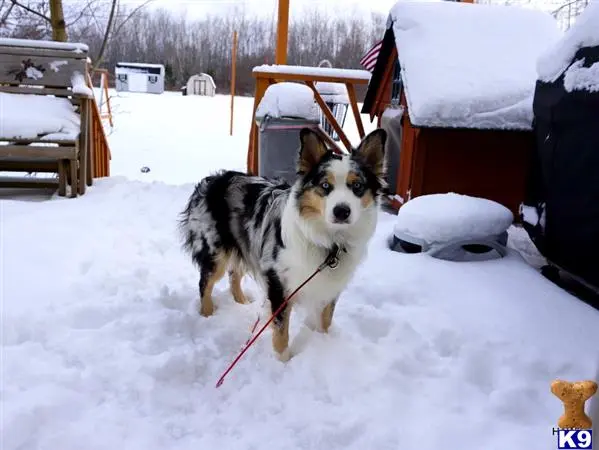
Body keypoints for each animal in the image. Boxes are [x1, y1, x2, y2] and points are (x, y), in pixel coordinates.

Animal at [179, 127, 390, 362]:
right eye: (325, 185)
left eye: (357, 186)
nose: (342, 211)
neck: (328, 241)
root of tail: (211, 179)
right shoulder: (279, 283)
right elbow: (281, 332)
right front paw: (283, 361)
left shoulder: (329, 286)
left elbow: (326, 319)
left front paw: (324, 344)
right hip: (215, 251)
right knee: (205, 283)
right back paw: (207, 314)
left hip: (246, 244)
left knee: (234, 274)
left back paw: (242, 302)